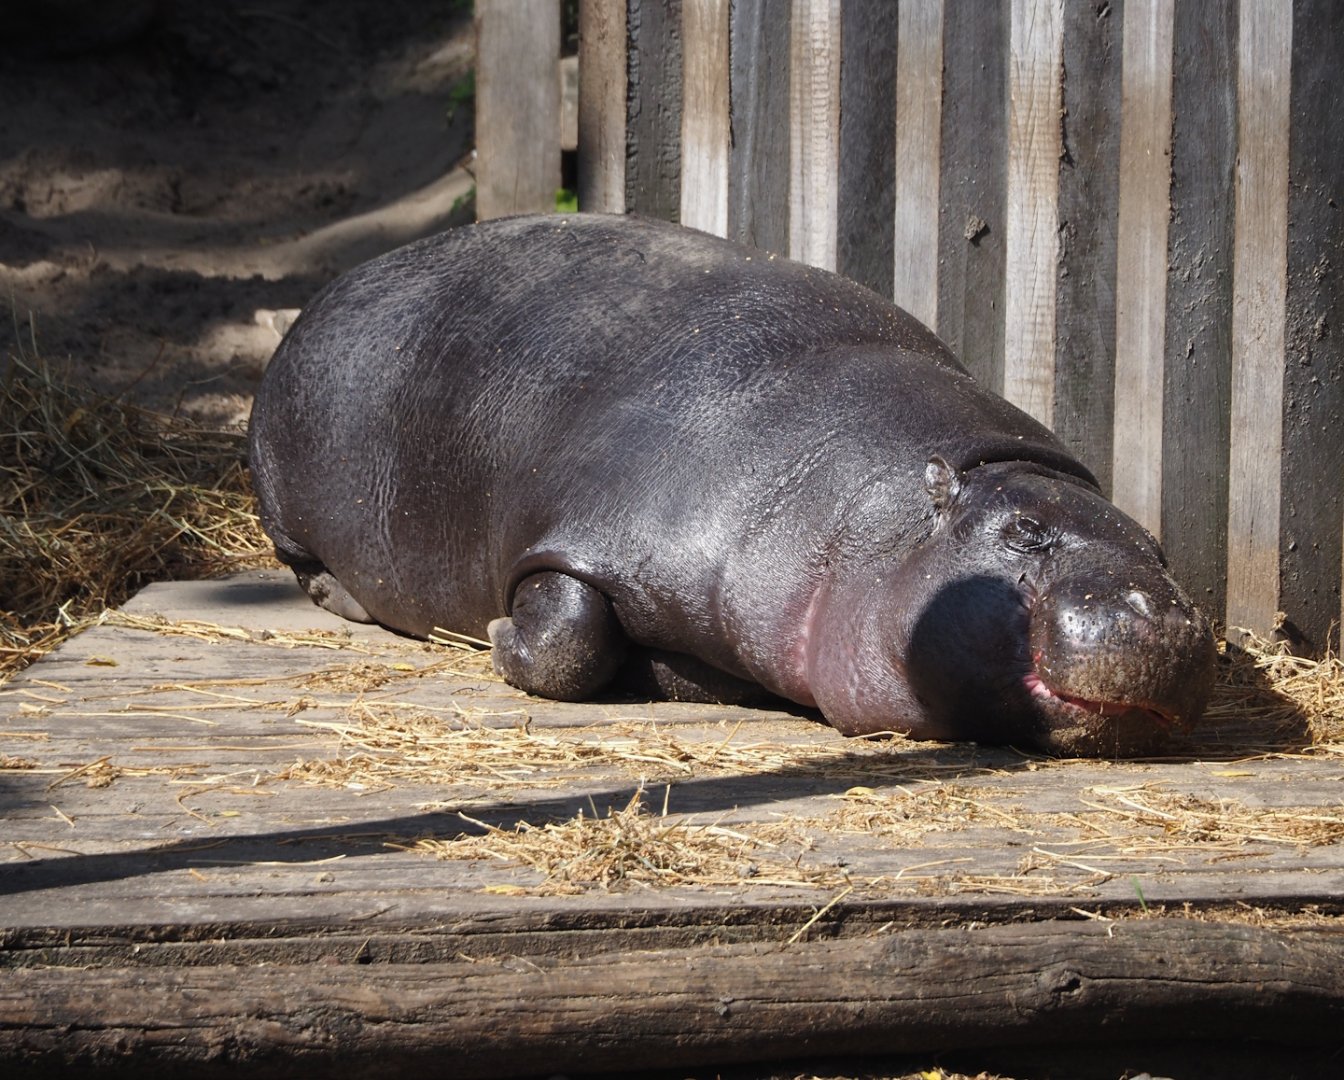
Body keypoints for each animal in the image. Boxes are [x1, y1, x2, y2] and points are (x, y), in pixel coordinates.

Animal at [248, 213, 1215, 757]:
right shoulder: (591, 535)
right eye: (1022, 532)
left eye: (1160, 549)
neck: (878, 515)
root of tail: (338, 284)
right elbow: (564, 635)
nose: (1162, 619)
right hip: (282, 494)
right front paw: (494, 635)